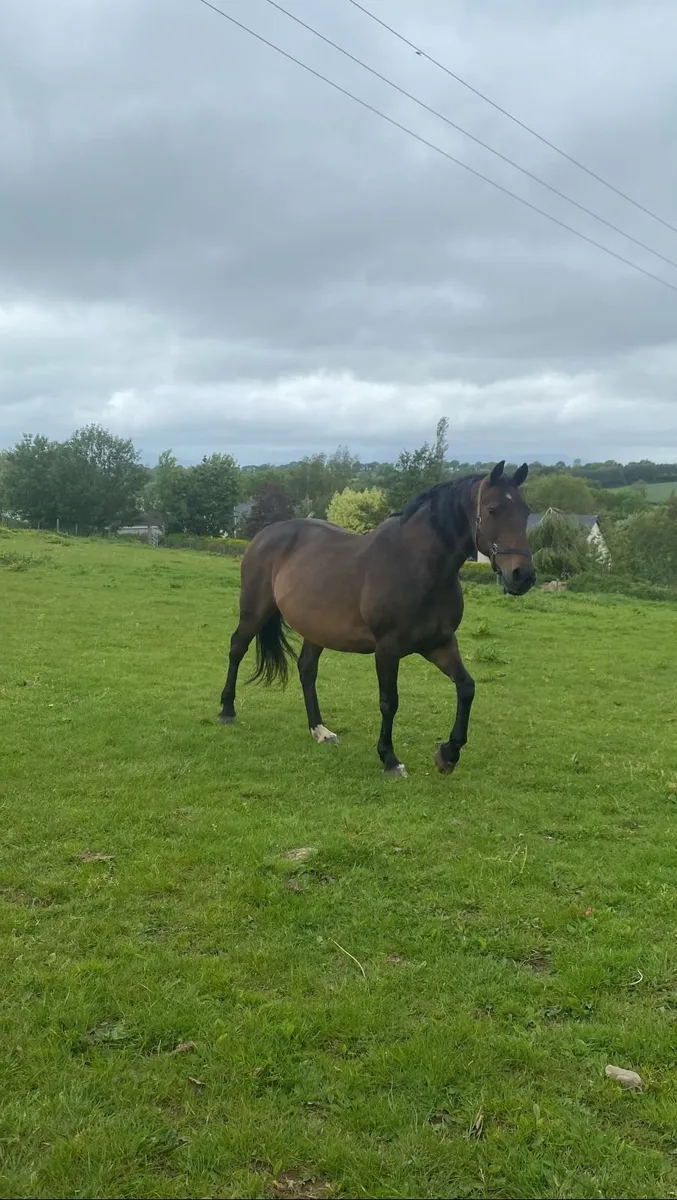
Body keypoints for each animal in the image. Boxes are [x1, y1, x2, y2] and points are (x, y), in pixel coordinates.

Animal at [218, 460, 535, 778]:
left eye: (526, 510)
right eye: (493, 509)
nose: (523, 576)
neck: (418, 566)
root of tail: (265, 534)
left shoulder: (440, 644)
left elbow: (467, 688)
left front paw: (448, 754)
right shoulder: (387, 649)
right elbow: (389, 702)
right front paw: (390, 759)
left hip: (316, 630)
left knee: (306, 669)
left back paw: (320, 730)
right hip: (254, 612)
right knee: (237, 648)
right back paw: (227, 710)